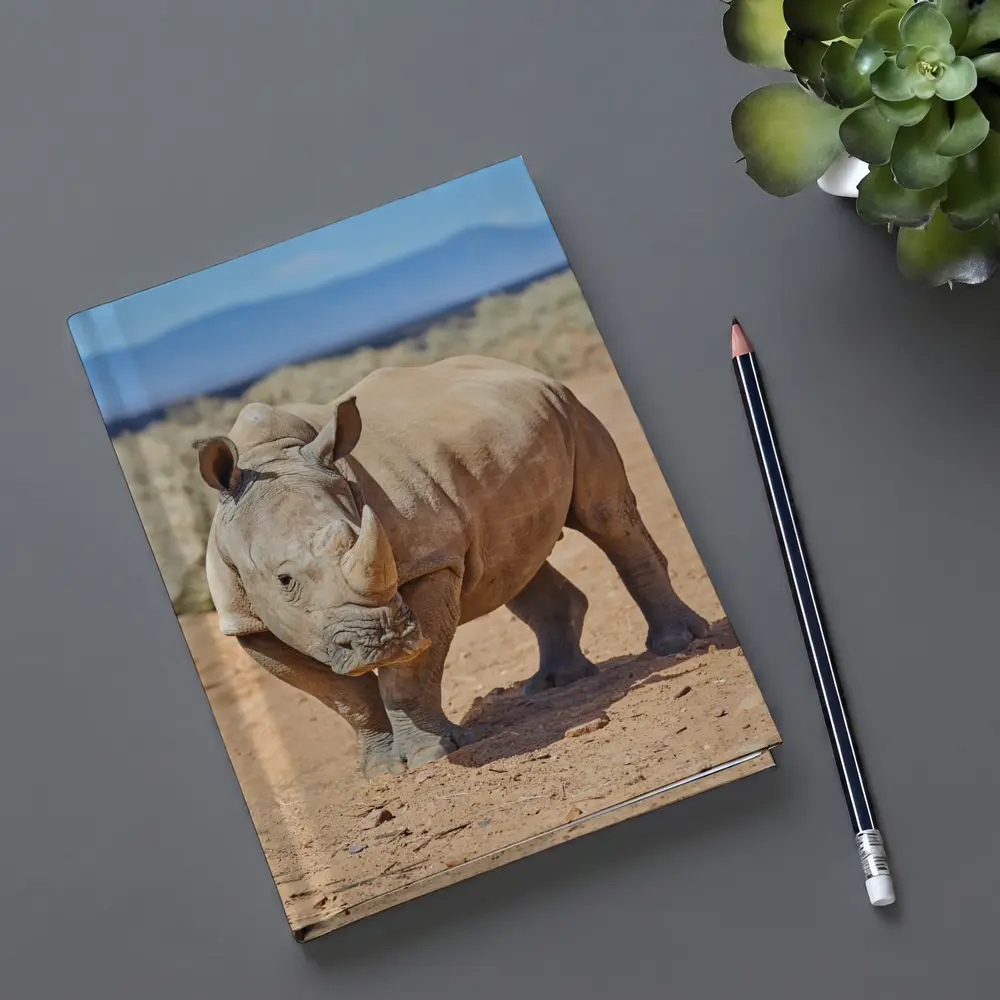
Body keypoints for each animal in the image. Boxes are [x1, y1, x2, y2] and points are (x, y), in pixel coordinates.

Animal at [197, 356, 708, 775]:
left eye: (359, 537)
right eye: (284, 580)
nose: (383, 641)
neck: (271, 455)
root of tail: (520, 367)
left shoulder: (429, 561)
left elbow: (409, 675)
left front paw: (430, 756)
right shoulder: (245, 624)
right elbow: (346, 699)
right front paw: (381, 771)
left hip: (568, 405)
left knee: (605, 519)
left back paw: (675, 645)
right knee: (508, 566)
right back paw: (553, 684)